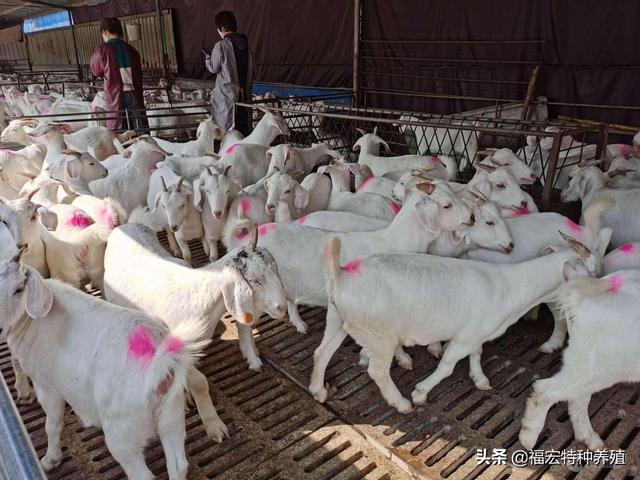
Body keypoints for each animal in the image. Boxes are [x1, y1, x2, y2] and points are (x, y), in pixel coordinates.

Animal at [0, 253, 206, 478]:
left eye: (19, 289)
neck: (32, 323)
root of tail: (159, 360)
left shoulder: (47, 386)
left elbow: (52, 425)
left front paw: (50, 460)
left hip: (123, 428)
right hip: (171, 411)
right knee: (178, 465)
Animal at [520, 272, 640, 452]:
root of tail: (580, 300)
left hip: (587, 366)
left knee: (576, 400)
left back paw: (591, 440)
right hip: (600, 368)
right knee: (545, 390)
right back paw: (528, 437)